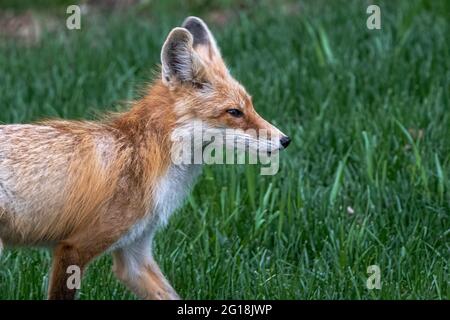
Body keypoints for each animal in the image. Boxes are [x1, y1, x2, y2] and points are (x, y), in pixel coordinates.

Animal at [0, 16, 290, 298]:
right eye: (235, 112)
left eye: (250, 105)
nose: (285, 140)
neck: (144, 157)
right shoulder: (74, 248)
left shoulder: (135, 254)